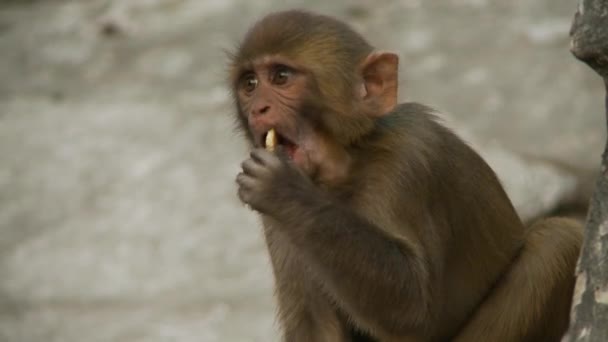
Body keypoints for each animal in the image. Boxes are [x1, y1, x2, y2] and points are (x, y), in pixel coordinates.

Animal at [229, 9, 584, 340]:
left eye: (281, 77)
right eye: (250, 84)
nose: (258, 109)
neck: (347, 166)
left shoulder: (409, 161)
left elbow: (415, 309)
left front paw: (284, 190)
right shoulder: (277, 224)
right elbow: (314, 326)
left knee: (557, 241)